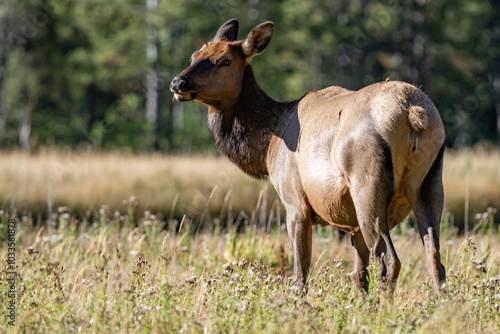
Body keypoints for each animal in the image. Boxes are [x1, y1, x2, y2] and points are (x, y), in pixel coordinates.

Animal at [171, 18, 446, 294]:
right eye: (194, 56)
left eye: (225, 60)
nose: (178, 83)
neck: (268, 146)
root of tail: (413, 112)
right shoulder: (352, 223)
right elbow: (359, 277)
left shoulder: (295, 202)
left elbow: (300, 274)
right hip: (430, 183)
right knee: (435, 259)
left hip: (367, 184)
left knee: (389, 262)